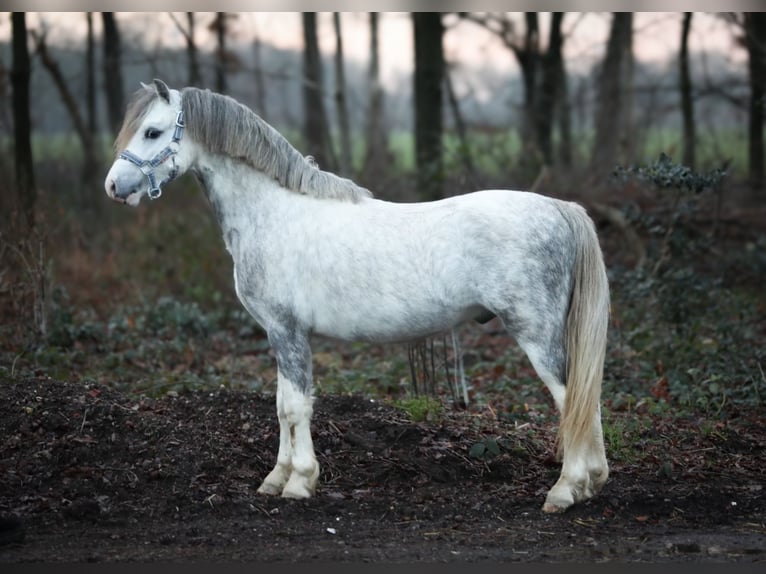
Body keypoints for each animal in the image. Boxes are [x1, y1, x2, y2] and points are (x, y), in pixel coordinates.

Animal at [106, 80, 612, 512]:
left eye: (152, 131)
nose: (113, 187)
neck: (273, 213)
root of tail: (559, 208)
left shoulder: (288, 330)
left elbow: (296, 405)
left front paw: (299, 482)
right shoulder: (278, 333)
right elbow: (281, 405)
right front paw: (275, 478)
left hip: (536, 334)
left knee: (572, 400)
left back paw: (565, 490)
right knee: (585, 400)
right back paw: (592, 483)